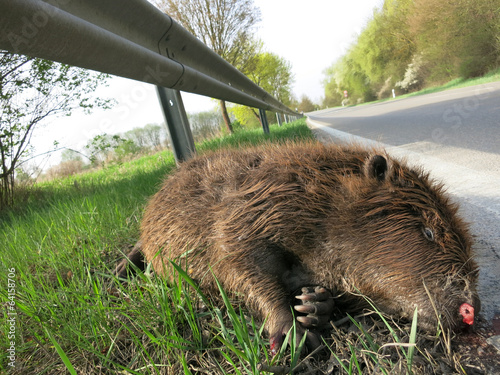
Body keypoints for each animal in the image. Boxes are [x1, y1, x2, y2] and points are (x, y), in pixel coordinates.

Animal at [114, 141, 480, 352]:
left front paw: (314, 304)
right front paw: (294, 335)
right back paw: (119, 271)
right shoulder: (248, 213)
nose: (470, 310)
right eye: (429, 231)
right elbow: (237, 263)